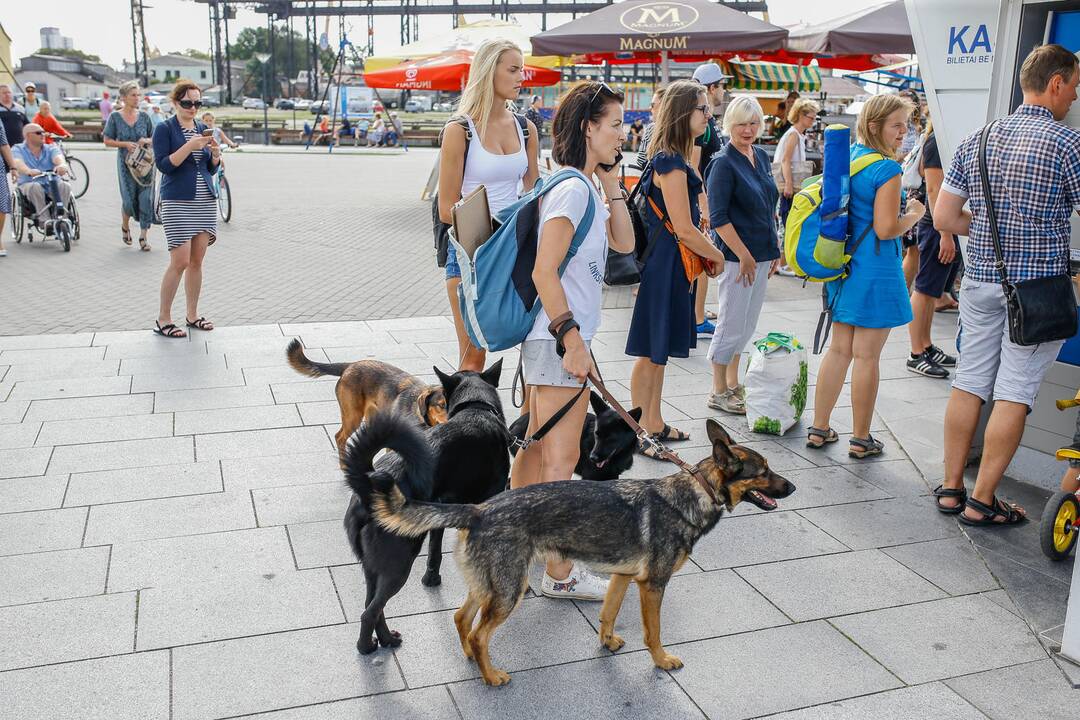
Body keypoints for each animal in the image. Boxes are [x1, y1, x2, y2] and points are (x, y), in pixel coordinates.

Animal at [341, 360, 509, 651]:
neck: (476, 407)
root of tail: (368, 487)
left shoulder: (441, 508)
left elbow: (435, 550)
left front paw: (431, 578)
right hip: (399, 562)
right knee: (370, 611)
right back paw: (366, 646)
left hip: (373, 565)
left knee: (372, 603)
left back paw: (385, 639)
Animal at [369, 423, 794, 686]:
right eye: (762, 471)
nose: (792, 487)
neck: (693, 493)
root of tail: (478, 509)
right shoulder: (652, 585)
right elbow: (653, 632)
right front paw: (661, 661)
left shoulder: (624, 577)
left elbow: (608, 613)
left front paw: (606, 642)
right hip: (508, 591)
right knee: (478, 632)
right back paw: (491, 677)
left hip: (491, 586)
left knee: (462, 620)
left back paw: (474, 662)